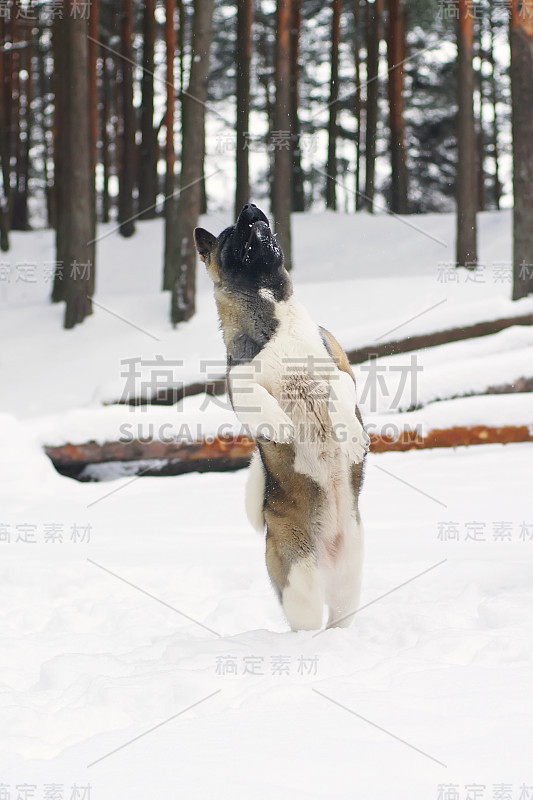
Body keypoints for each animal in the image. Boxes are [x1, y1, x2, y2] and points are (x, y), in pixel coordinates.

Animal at [193, 205, 368, 632]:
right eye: (229, 232)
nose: (251, 208)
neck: (272, 309)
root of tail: (328, 553)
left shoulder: (339, 369)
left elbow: (338, 394)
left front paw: (352, 438)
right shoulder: (237, 383)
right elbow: (254, 397)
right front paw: (281, 425)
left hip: (350, 585)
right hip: (301, 579)